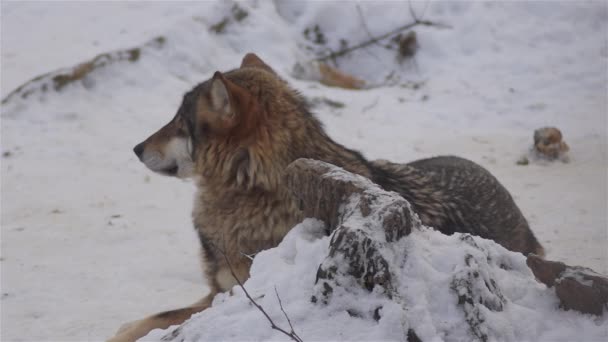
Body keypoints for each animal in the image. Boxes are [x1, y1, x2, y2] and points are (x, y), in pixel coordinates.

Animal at [110, 53, 548, 342]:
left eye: (178, 123)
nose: (135, 148)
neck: (258, 191)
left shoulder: (235, 293)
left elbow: (150, 321)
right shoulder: (217, 291)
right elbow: (147, 318)